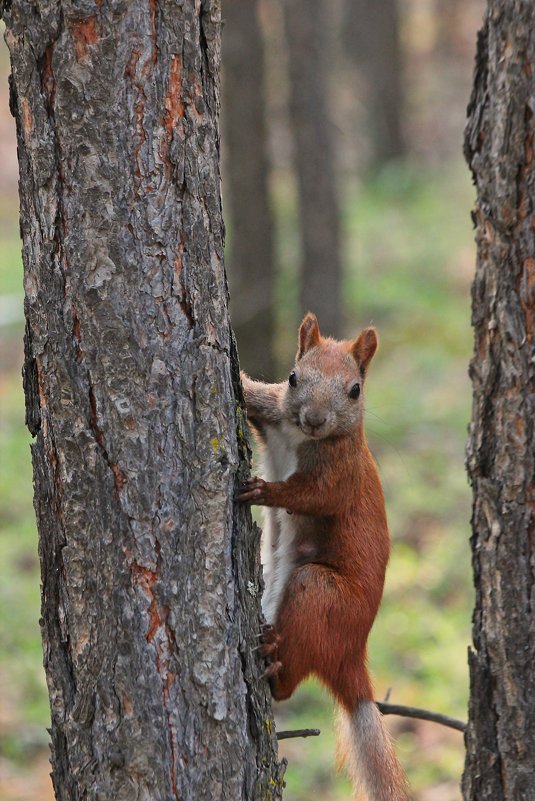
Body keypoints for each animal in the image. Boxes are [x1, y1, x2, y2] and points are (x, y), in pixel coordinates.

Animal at [237, 310, 408, 800]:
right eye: (294, 377)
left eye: (355, 390)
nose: (313, 419)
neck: (298, 436)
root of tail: (352, 654)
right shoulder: (272, 413)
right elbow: (250, 393)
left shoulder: (340, 475)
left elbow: (313, 496)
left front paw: (265, 491)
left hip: (317, 591)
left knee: (290, 682)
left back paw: (274, 664)